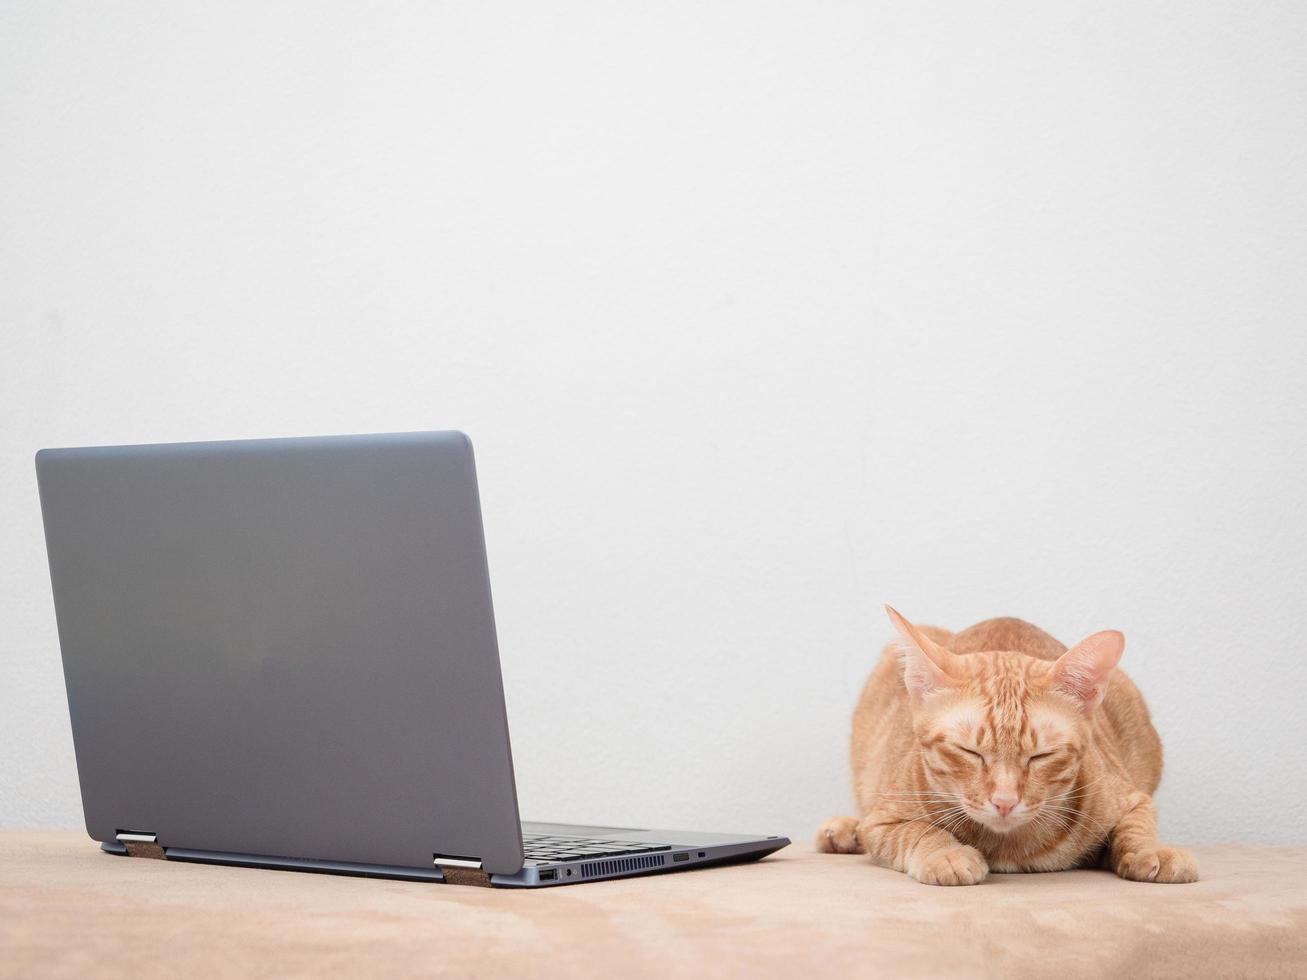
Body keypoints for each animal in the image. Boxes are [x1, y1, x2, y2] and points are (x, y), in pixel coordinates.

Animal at [820, 611, 1197, 888]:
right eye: (969, 752)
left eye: (1041, 756)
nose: (1004, 801)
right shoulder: (882, 822)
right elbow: (918, 831)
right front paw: (947, 854)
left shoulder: (1134, 799)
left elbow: (1137, 828)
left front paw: (1151, 851)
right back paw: (844, 830)